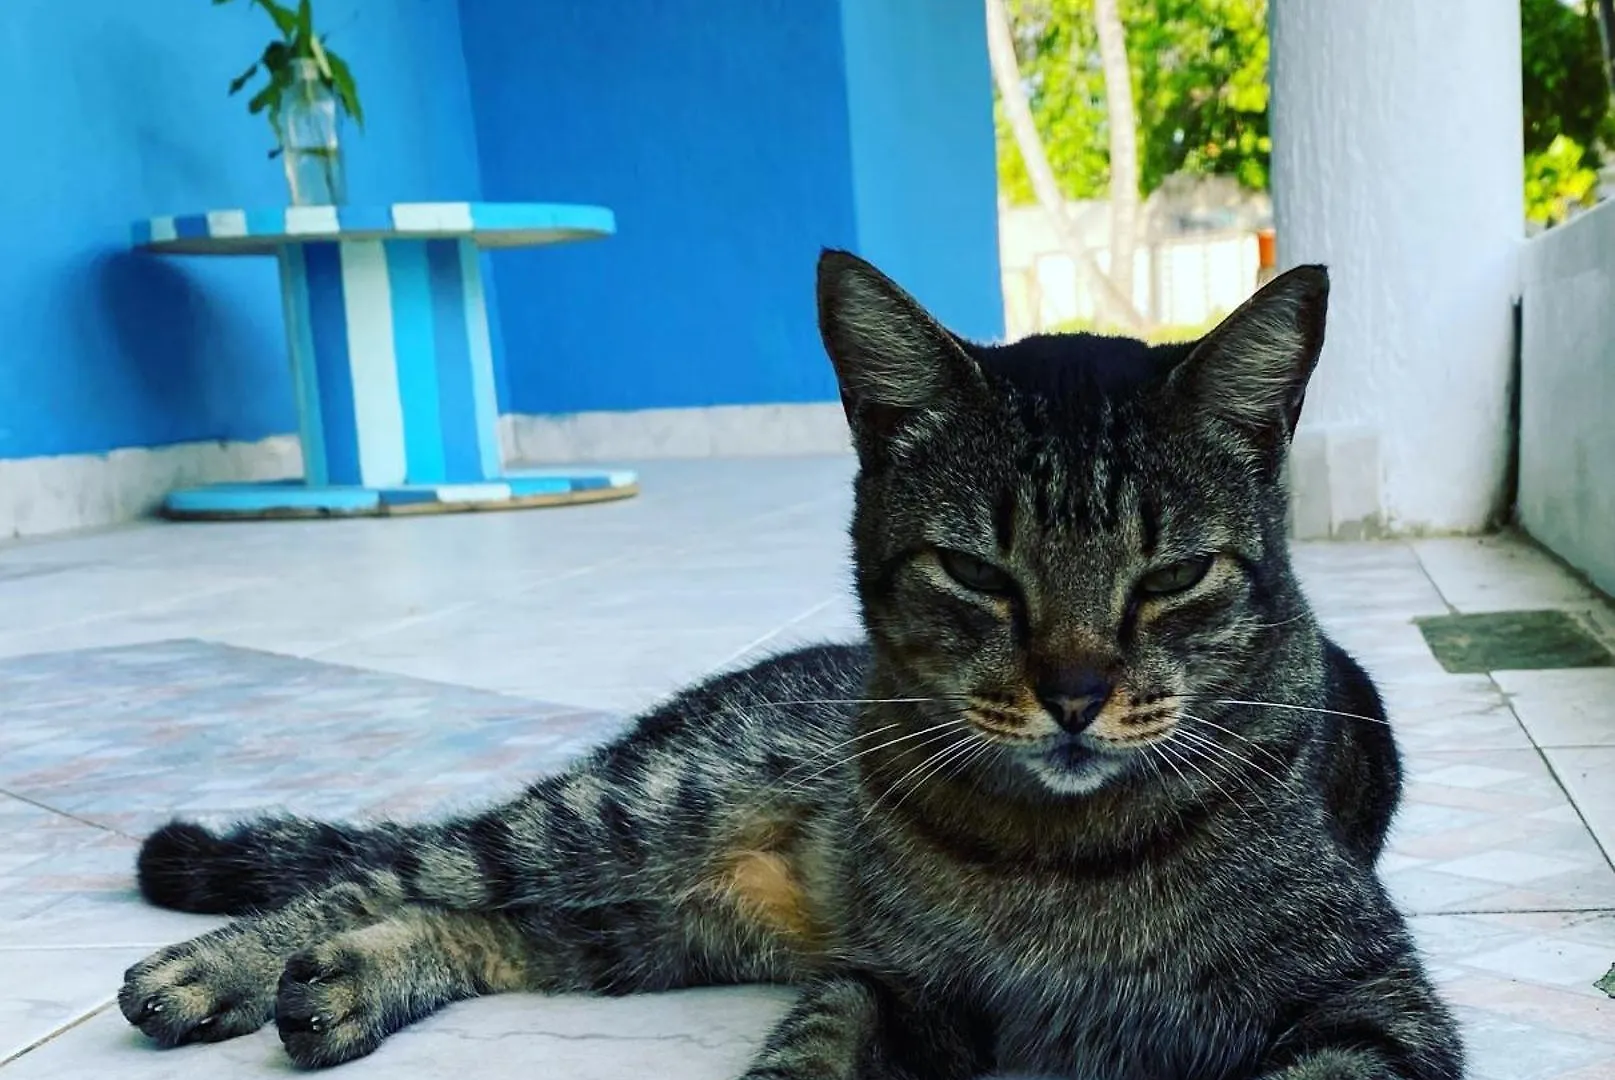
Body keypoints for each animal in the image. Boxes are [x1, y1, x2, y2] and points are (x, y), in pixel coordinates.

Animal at [122, 255, 1466, 1078]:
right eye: (976, 571)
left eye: (1173, 575)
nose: (1076, 696)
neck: (1053, 858)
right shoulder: (888, 989)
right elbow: (809, 1054)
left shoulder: (1372, 1006)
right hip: (634, 815)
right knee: (406, 870)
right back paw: (219, 966)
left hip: (662, 928)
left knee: (502, 927)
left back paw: (346, 983)